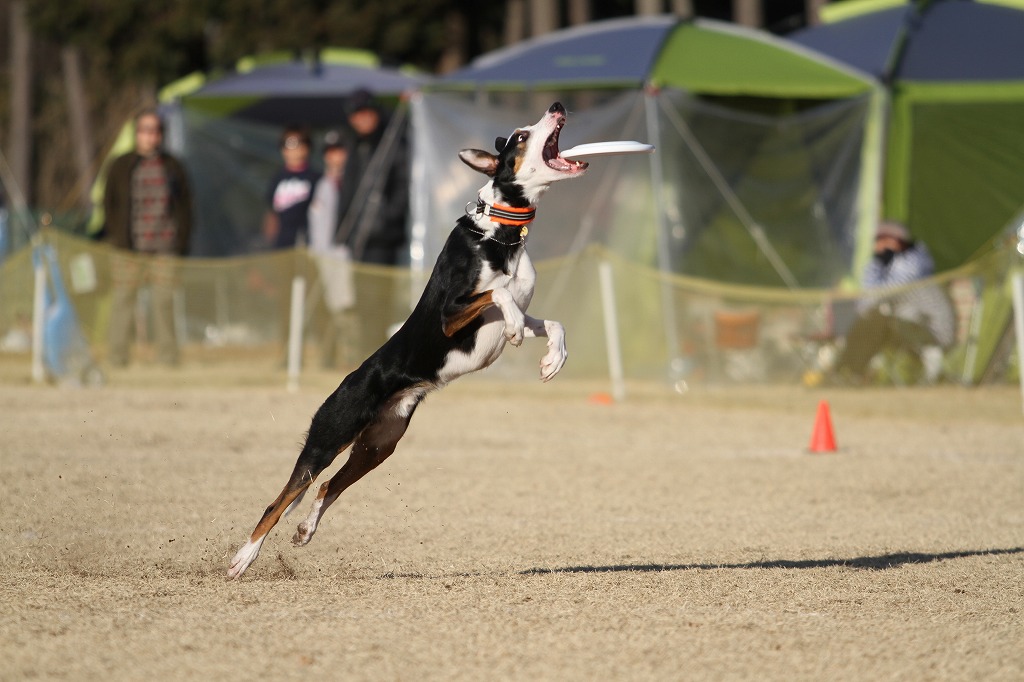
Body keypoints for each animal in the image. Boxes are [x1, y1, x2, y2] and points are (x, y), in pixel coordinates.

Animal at [228, 100, 589, 577]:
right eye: (521, 134)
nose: (557, 106)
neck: (500, 235)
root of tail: (349, 381)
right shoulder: (451, 314)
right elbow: (498, 293)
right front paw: (514, 329)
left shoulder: (520, 309)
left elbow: (551, 322)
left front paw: (553, 359)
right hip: (329, 438)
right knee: (280, 500)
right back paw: (242, 559)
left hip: (378, 446)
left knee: (326, 488)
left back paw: (304, 531)